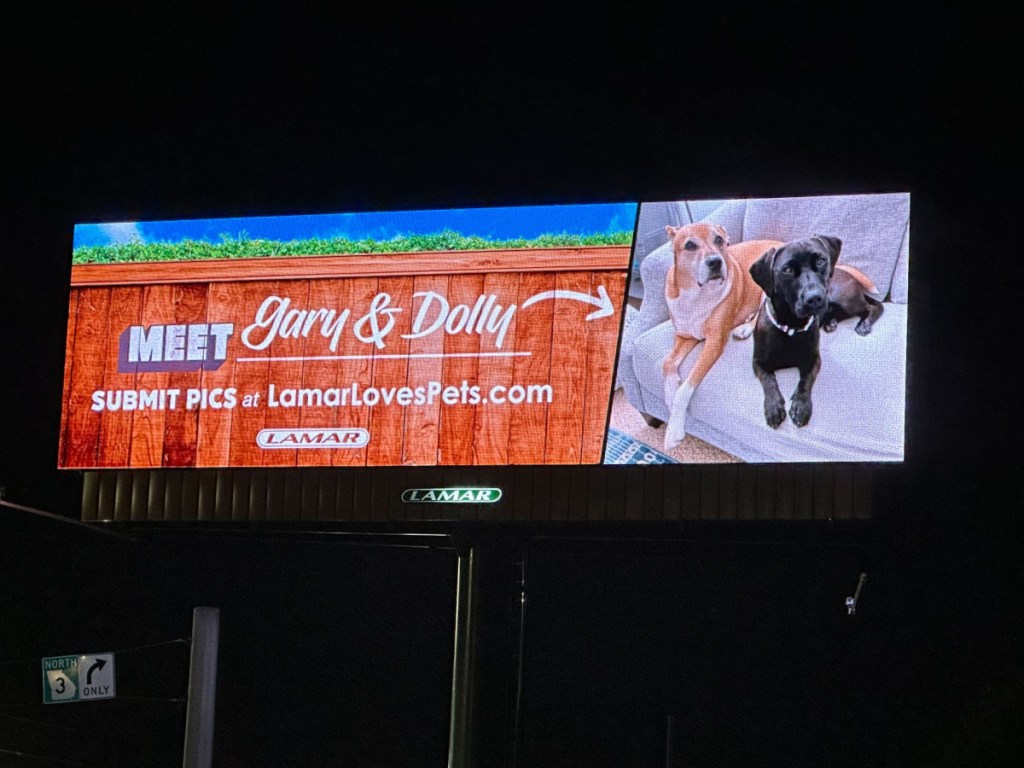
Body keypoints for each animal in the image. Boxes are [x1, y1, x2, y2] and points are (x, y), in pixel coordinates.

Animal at [659, 222, 778, 450]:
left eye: (719, 240)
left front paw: (674, 429)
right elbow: (667, 362)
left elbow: (685, 389)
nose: (715, 262)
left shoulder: (713, 343)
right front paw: (668, 393)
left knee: (764, 311)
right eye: (689, 245)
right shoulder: (685, 335)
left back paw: (745, 328)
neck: (696, 295)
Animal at [749, 234, 884, 430]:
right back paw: (831, 323)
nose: (814, 298)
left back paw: (864, 324)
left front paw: (801, 407)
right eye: (787, 269)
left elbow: (805, 381)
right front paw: (773, 407)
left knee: (873, 306)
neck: (791, 326)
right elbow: (769, 381)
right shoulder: (758, 363)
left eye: (821, 260)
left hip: (845, 299)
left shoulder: (813, 359)